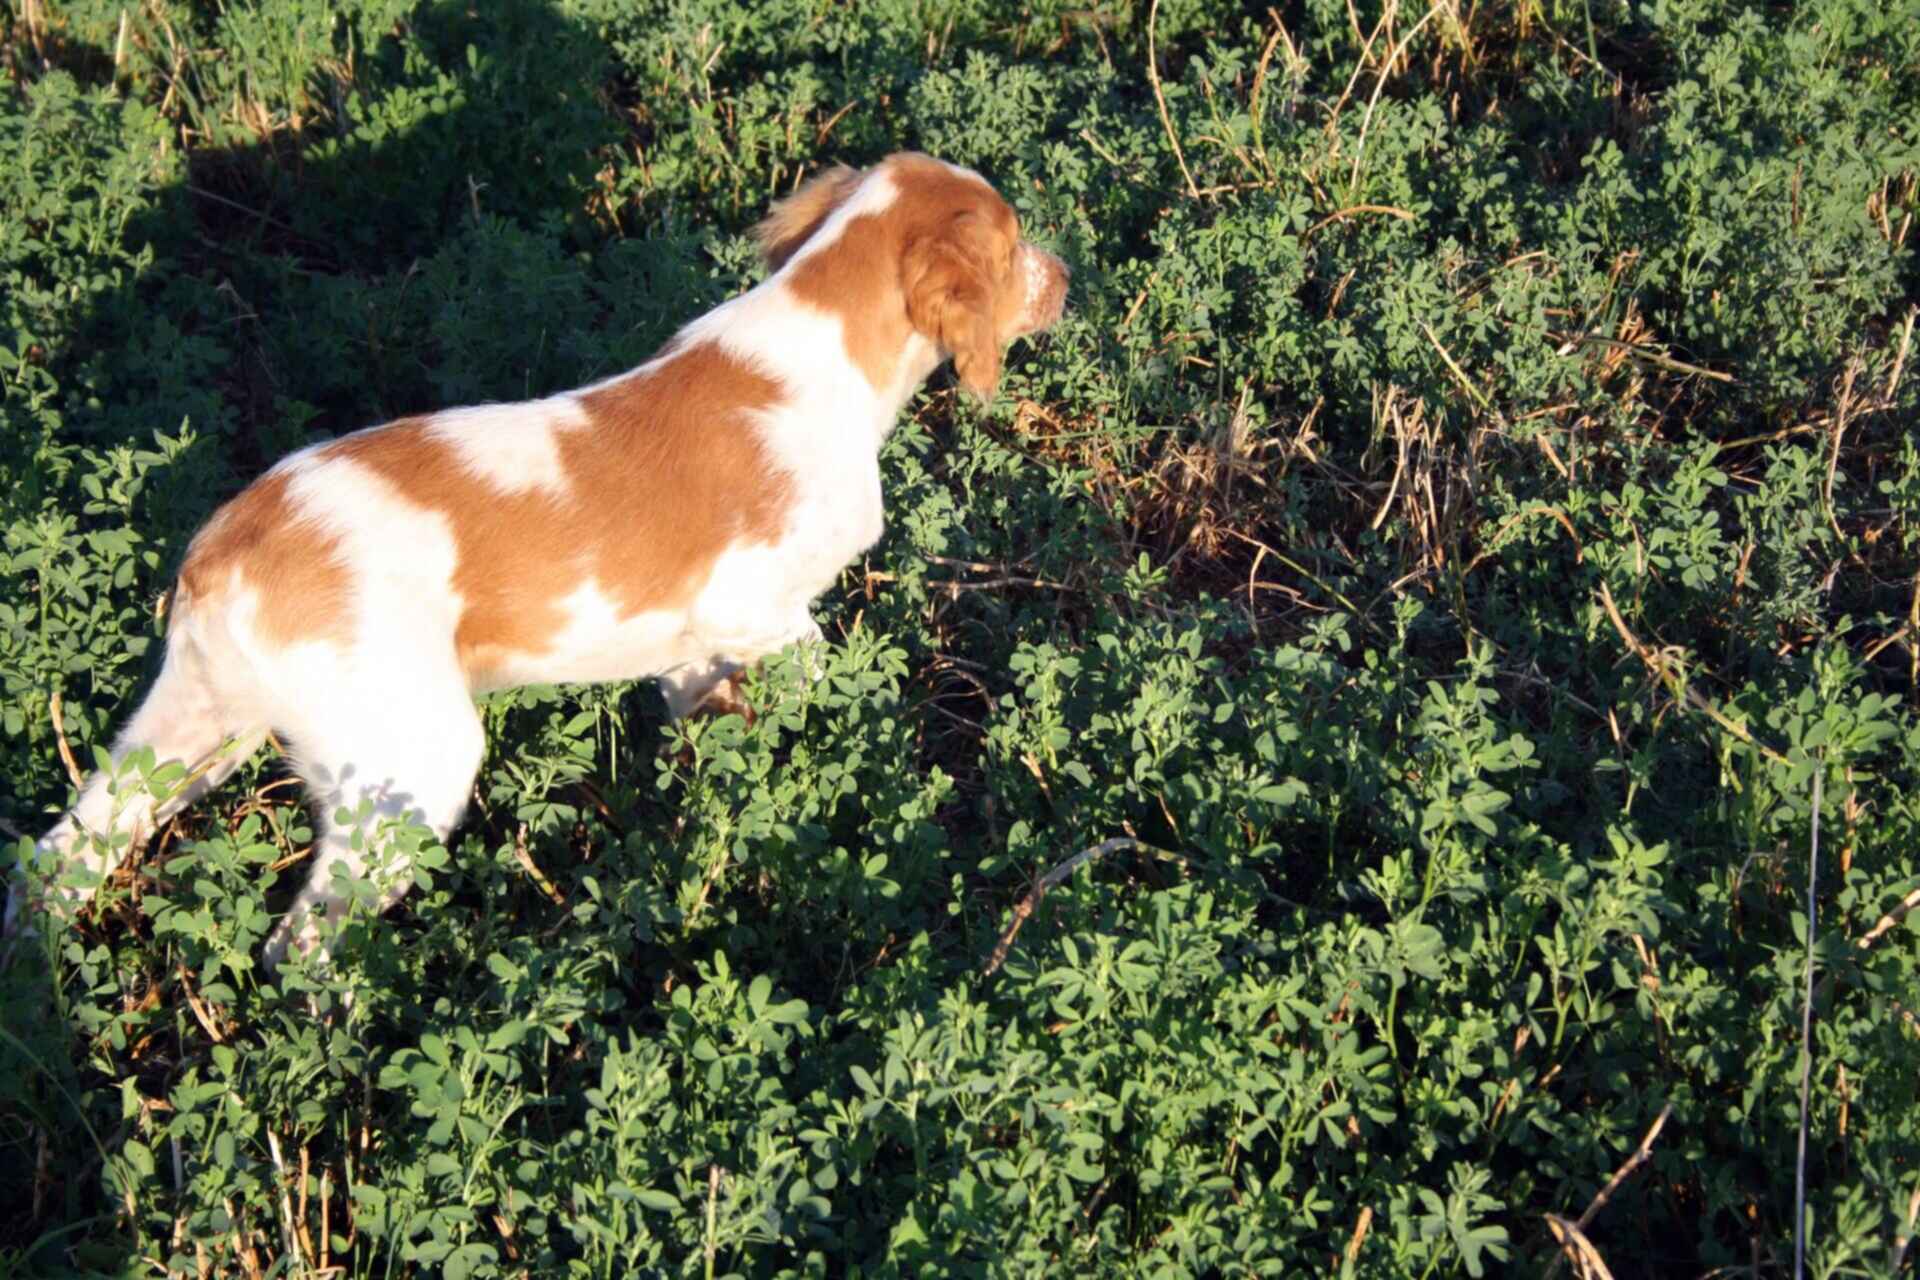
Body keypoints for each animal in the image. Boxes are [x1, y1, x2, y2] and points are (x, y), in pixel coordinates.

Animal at [7, 155, 1075, 967]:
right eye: (1016, 242)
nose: (1067, 277)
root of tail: (225, 546)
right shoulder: (750, 604)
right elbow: (826, 675)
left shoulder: (686, 653)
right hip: (410, 763)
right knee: (301, 944)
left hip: (183, 734)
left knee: (55, 861)